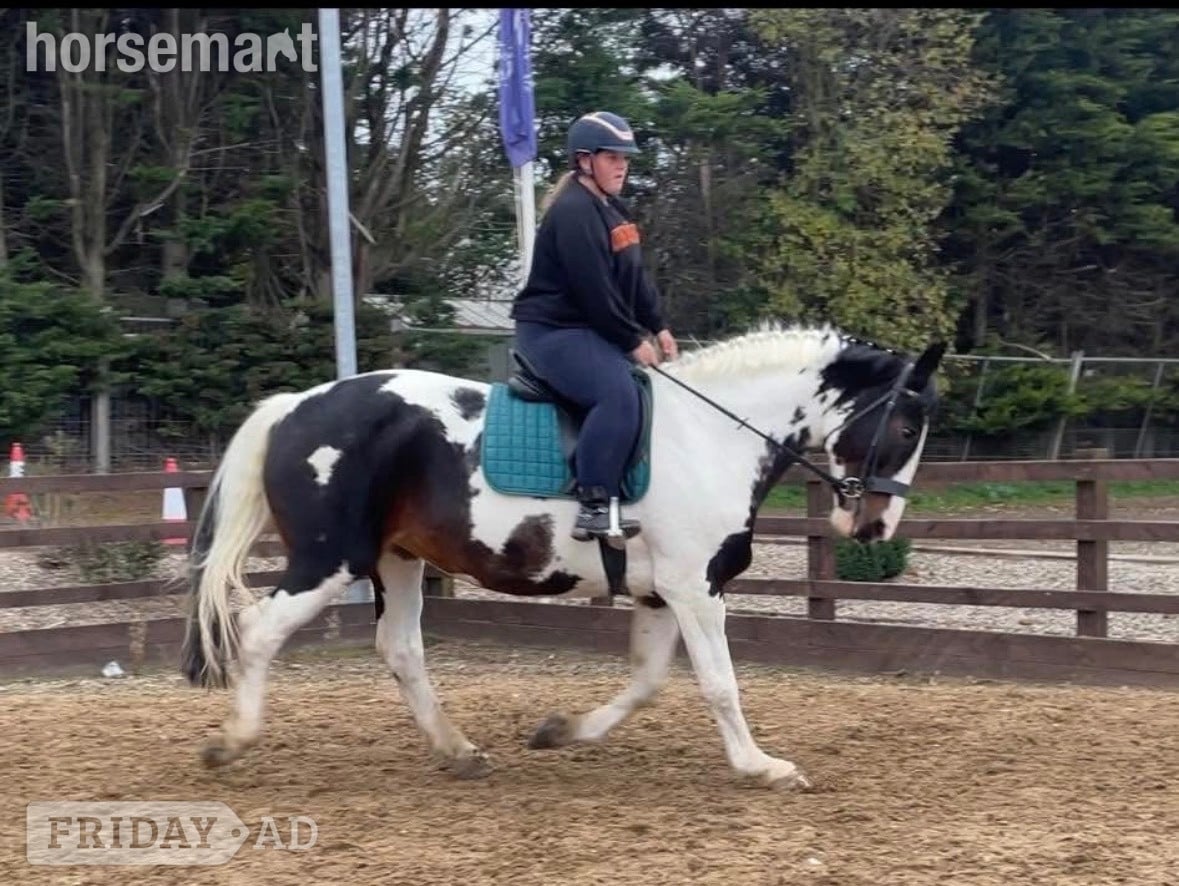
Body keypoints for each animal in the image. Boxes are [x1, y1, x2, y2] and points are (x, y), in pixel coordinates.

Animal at [178, 320, 946, 790]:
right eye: (907, 427)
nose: (876, 526)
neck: (711, 436)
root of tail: (294, 406)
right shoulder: (696, 590)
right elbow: (720, 684)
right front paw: (760, 766)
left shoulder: (660, 592)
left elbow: (647, 682)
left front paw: (561, 731)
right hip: (328, 561)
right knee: (256, 632)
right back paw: (231, 742)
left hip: (396, 561)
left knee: (400, 650)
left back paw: (458, 751)